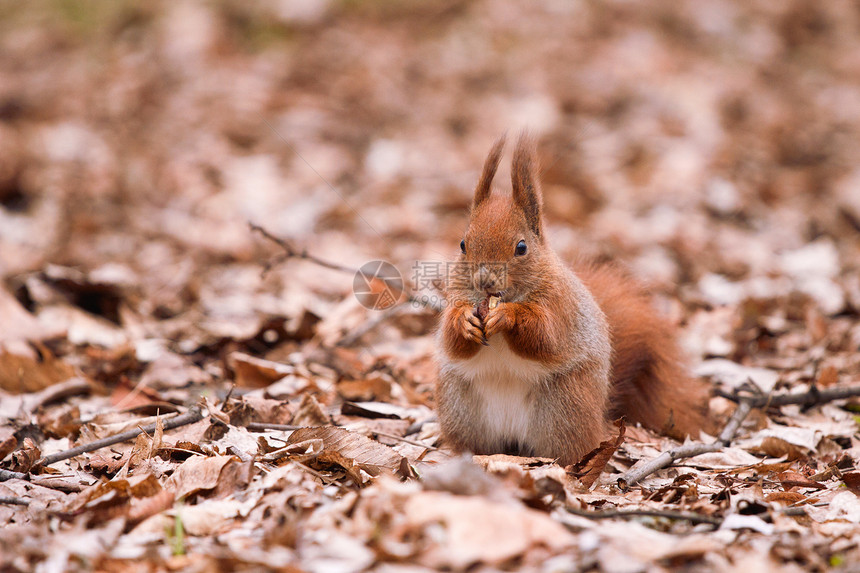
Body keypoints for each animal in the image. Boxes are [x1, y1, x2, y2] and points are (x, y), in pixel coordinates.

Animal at [436, 133, 712, 464]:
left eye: (521, 247)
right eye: (463, 244)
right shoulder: (455, 295)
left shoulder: (561, 305)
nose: (484, 280)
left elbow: (546, 336)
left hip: (565, 407)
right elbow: (452, 341)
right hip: (462, 409)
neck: (510, 295)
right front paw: (464, 321)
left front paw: (508, 316)